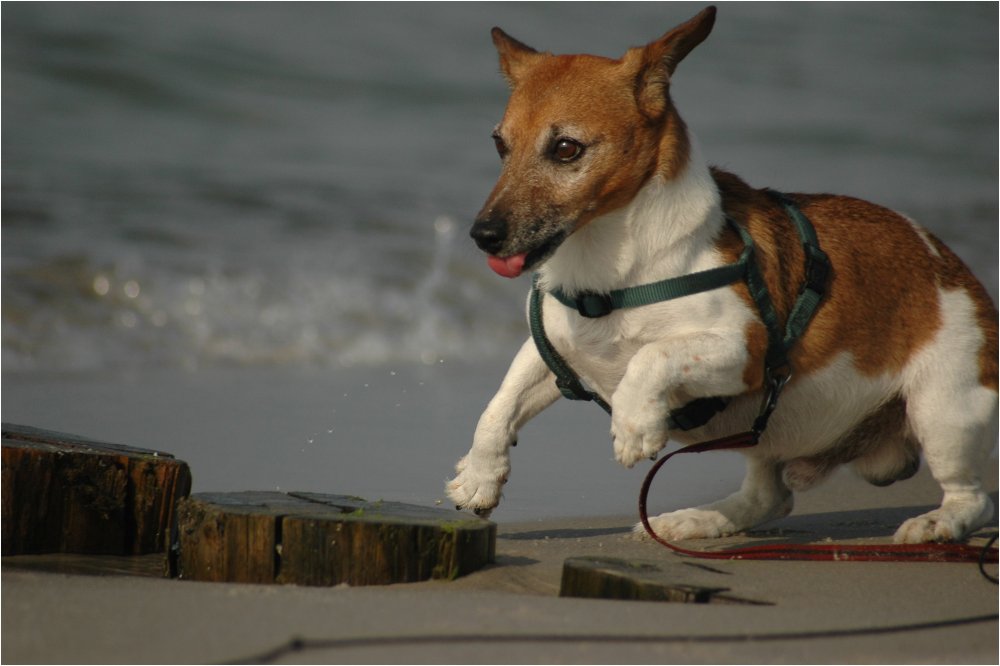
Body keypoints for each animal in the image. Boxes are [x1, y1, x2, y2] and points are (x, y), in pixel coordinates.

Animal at [448, 5, 1000, 544]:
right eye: (500, 145)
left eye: (566, 149)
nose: (483, 235)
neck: (611, 274)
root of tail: (946, 260)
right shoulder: (554, 350)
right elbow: (500, 403)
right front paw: (479, 475)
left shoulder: (743, 350)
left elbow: (652, 356)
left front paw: (634, 424)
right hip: (773, 436)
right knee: (769, 497)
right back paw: (697, 520)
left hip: (942, 408)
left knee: (974, 498)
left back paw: (937, 524)